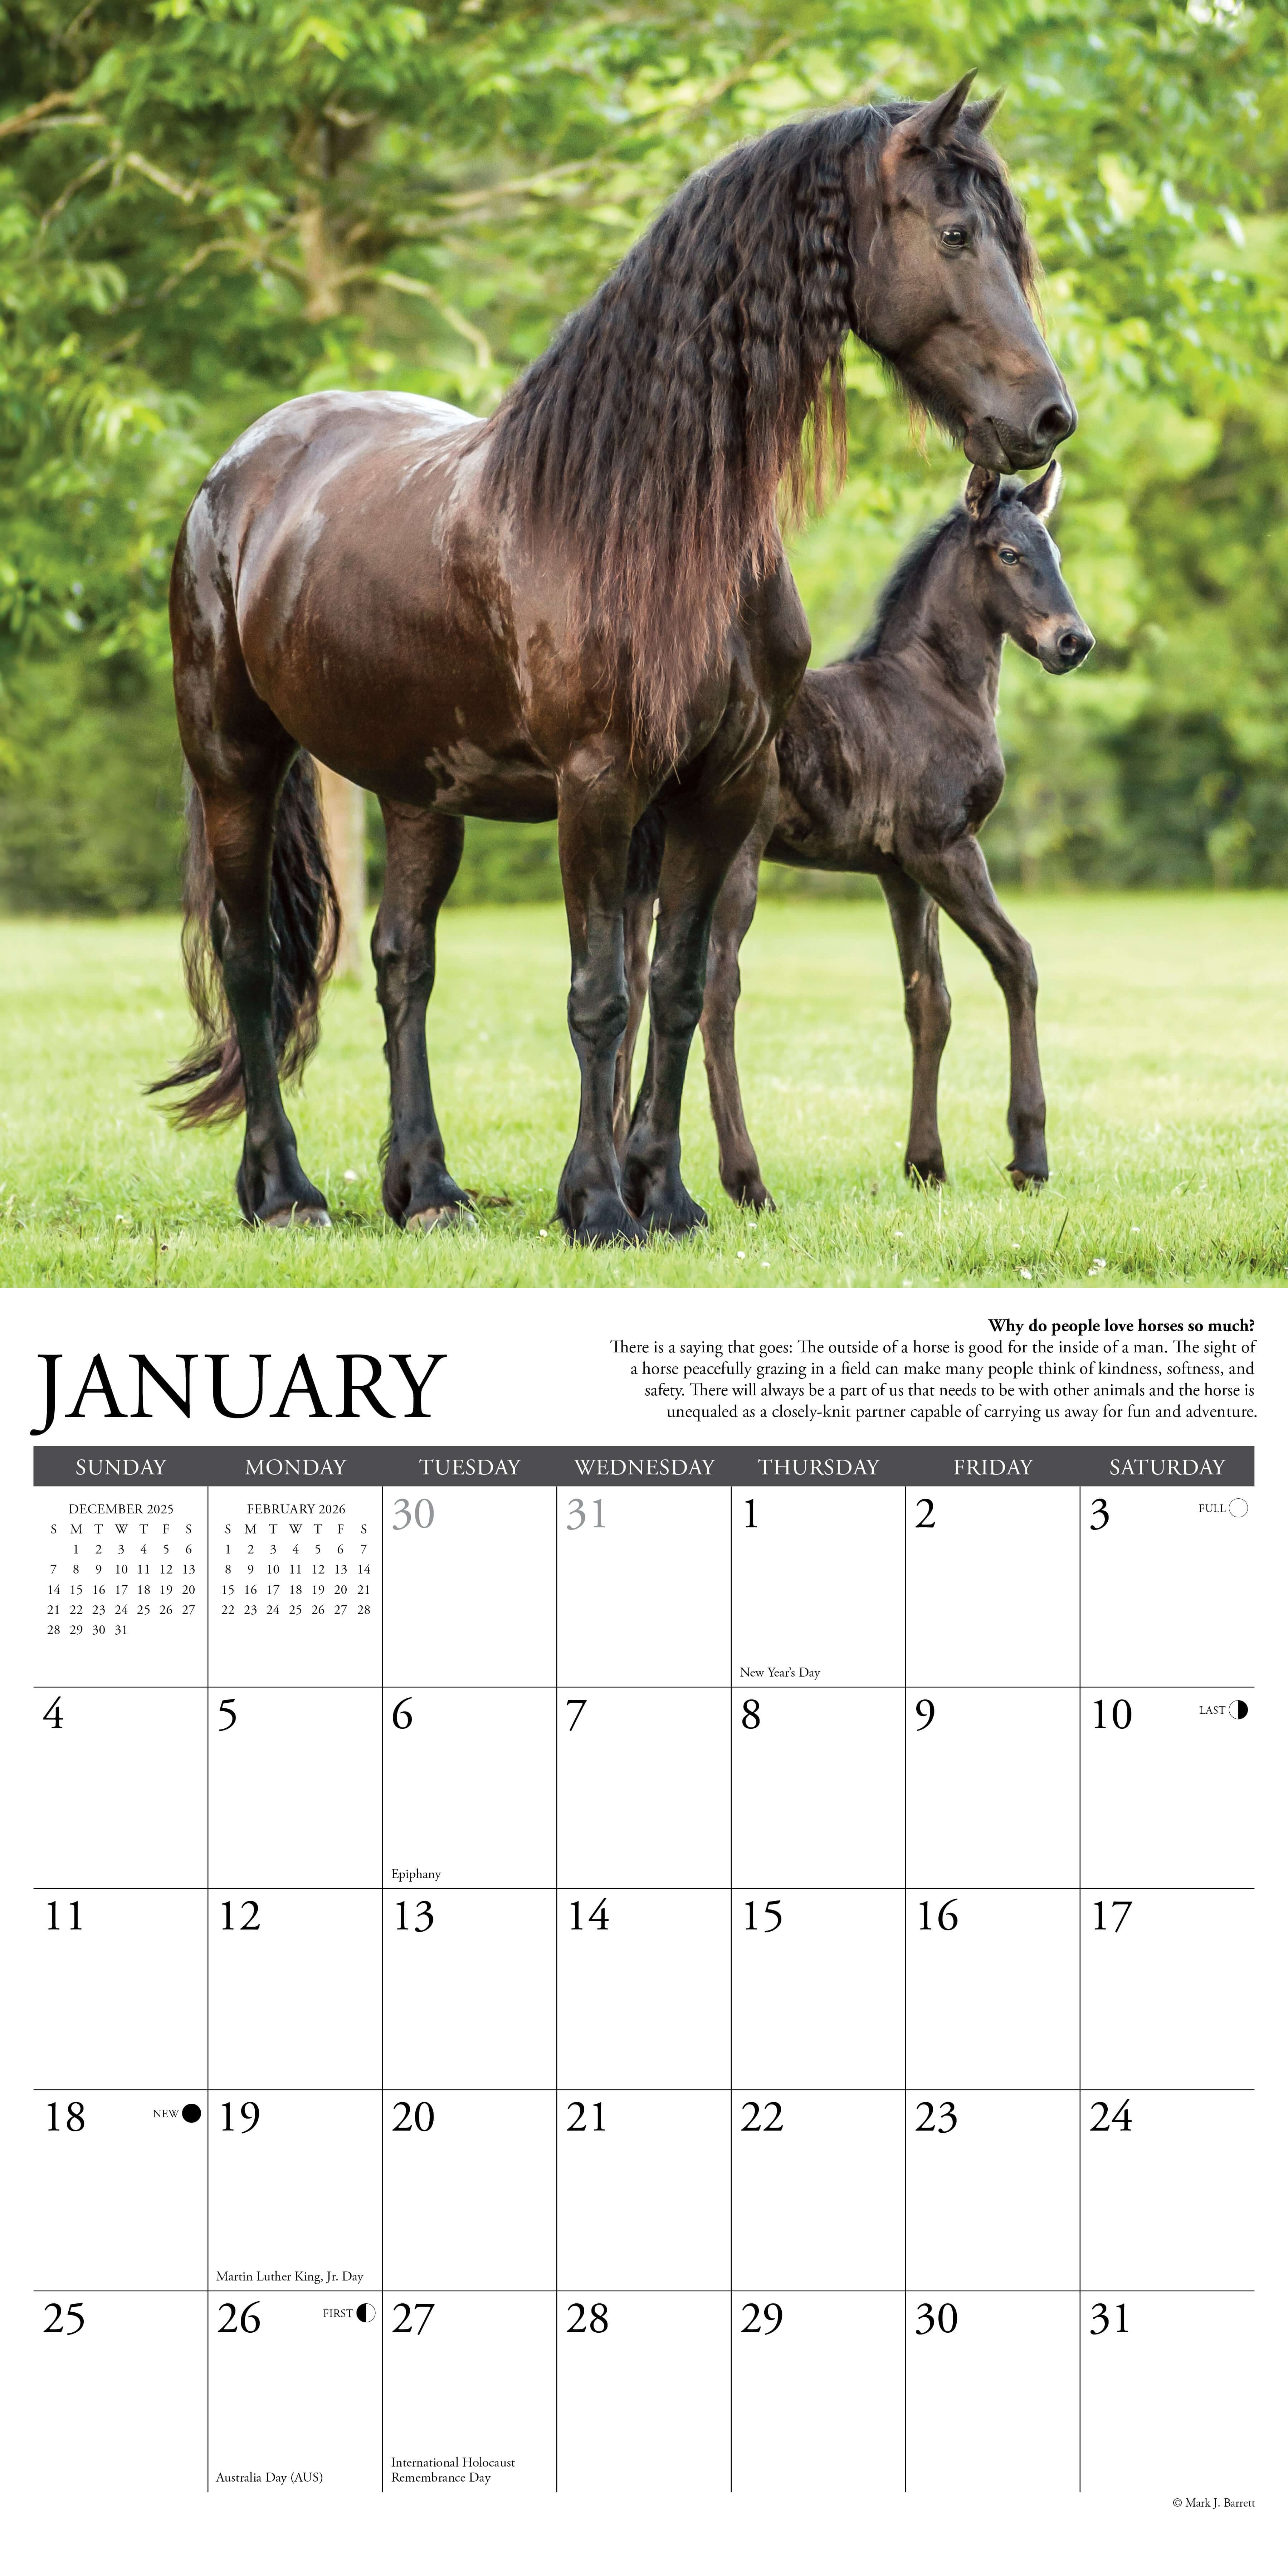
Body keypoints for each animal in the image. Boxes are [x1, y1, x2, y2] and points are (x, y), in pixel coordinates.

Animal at [615, 462, 1094, 1200]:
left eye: (1058, 555)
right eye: (1010, 555)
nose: (1073, 642)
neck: (935, 689)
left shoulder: (903, 874)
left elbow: (929, 1003)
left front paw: (925, 1164)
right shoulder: (946, 849)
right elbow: (1017, 962)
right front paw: (1029, 1154)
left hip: (651, 867)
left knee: (638, 986)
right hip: (736, 858)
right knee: (717, 991)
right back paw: (745, 1178)